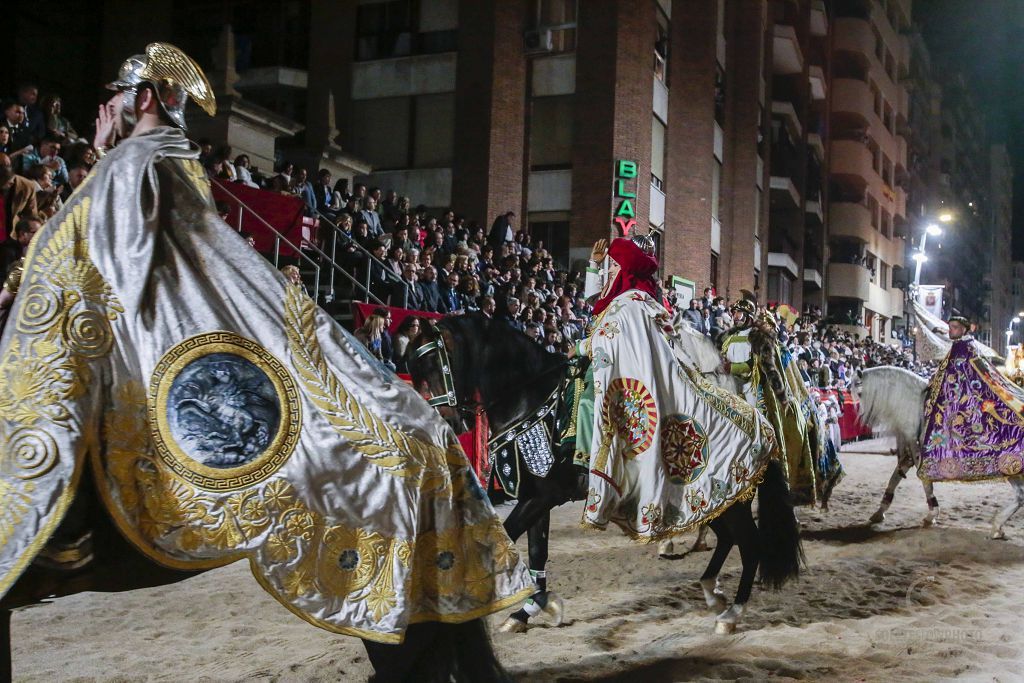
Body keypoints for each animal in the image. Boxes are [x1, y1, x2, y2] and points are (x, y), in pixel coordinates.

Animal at [405, 315, 798, 634]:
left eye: (433, 361)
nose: (448, 422)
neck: (533, 400)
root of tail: (761, 424)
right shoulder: (537, 496)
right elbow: (536, 552)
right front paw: (532, 609)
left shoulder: (544, 495)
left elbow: (506, 541)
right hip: (714, 502)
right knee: (729, 538)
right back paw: (711, 591)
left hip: (728, 497)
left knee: (751, 545)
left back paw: (731, 614)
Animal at [856, 366, 1024, 536]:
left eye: (859, 393)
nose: (863, 419)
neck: (915, 404)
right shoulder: (910, 450)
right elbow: (895, 478)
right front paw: (879, 512)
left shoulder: (918, 451)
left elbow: (924, 481)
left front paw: (932, 514)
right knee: (1020, 496)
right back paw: (998, 527)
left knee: (1020, 495)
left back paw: (997, 525)